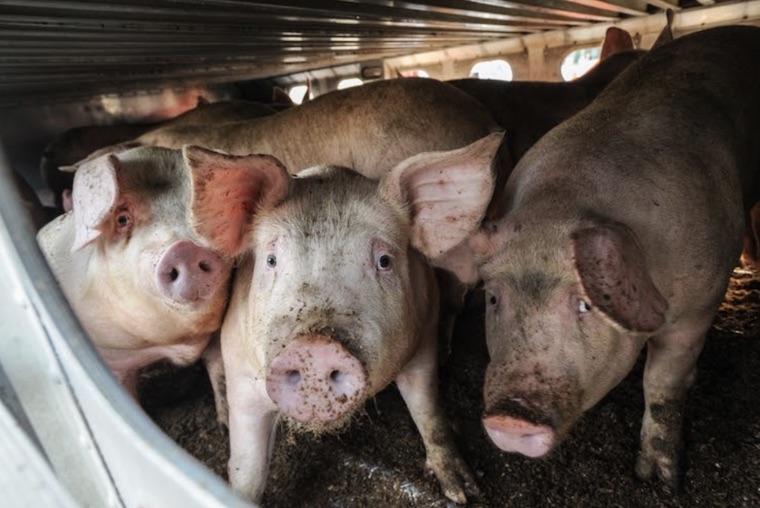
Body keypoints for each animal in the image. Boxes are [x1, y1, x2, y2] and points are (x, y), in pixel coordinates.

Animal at [192, 133, 504, 504]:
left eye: (384, 261)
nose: (315, 348)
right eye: (270, 260)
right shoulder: (241, 371)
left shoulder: (423, 337)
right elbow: (248, 469)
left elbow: (429, 412)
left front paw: (464, 493)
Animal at [430, 25, 760, 491]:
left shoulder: (701, 302)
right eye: (494, 299)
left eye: (585, 304)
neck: (561, 208)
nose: (511, 419)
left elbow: (662, 386)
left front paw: (658, 481)